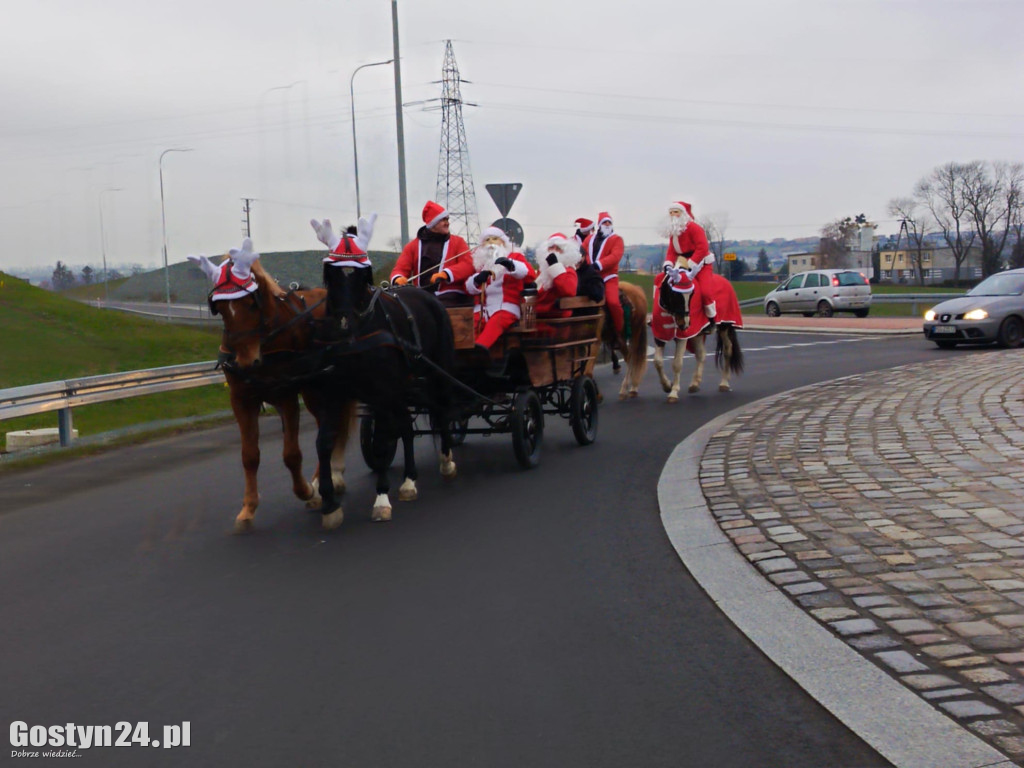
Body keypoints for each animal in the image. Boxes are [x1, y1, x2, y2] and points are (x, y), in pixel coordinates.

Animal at [190, 249, 354, 532]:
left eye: (252, 303)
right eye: (220, 308)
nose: (246, 361)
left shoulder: (285, 395)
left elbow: (291, 454)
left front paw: (306, 491)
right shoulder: (241, 400)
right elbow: (249, 456)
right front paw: (248, 509)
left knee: (329, 429)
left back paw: (323, 482)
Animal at [655, 272, 745, 403]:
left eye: (692, 295)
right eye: (675, 294)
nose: (685, 324)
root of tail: (726, 281)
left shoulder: (683, 337)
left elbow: (677, 364)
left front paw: (673, 393)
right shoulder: (659, 336)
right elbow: (657, 362)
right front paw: (667, 386)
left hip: (724, 326)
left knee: (728, 349)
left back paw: (724, 383)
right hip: (698, 334)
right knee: (701, 354)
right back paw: (694, 384)